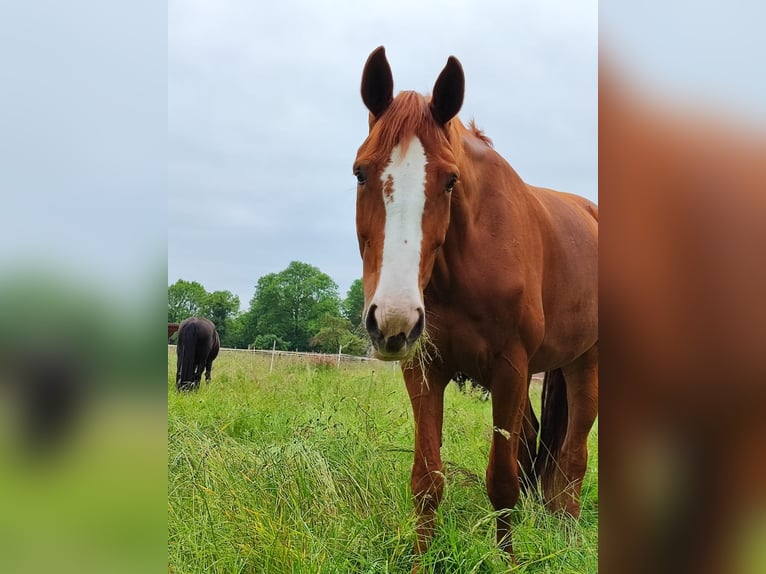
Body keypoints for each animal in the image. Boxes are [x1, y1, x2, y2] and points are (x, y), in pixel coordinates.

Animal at [353, 47, 598, 564]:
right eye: (361, 172)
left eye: (450, 181)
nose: (394, 319)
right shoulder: (424, 369)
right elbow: (427, 479)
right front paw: (420, 562)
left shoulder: (510, 369)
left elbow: (502, 482)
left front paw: (509, 562)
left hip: (586, 364)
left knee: (572, 460)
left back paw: (567, 540)